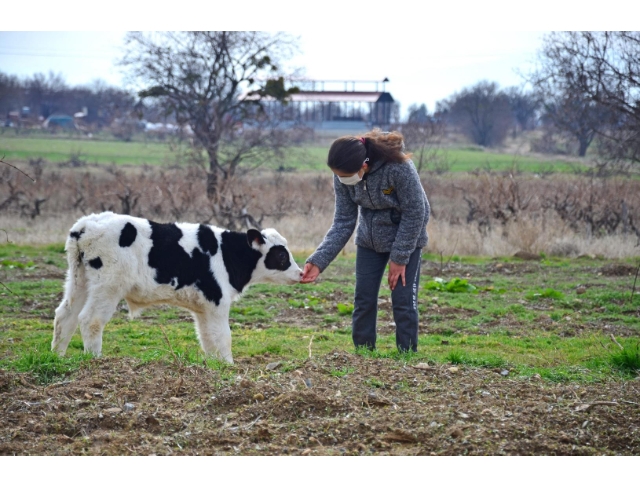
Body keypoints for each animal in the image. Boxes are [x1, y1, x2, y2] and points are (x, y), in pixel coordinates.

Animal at [51, 212, 302, 364]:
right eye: (282, 255)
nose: (300, 273)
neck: (227, 253)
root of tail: (86, 224)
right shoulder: (218, 302)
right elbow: (224, 336)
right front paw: (230, 365)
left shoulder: (203, 307)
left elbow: (207, 337)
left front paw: (215, 365)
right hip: (108, 286)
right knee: (90, 319)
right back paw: (95, 359)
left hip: (79, 281)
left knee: (65, 315)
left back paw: (58, 357)